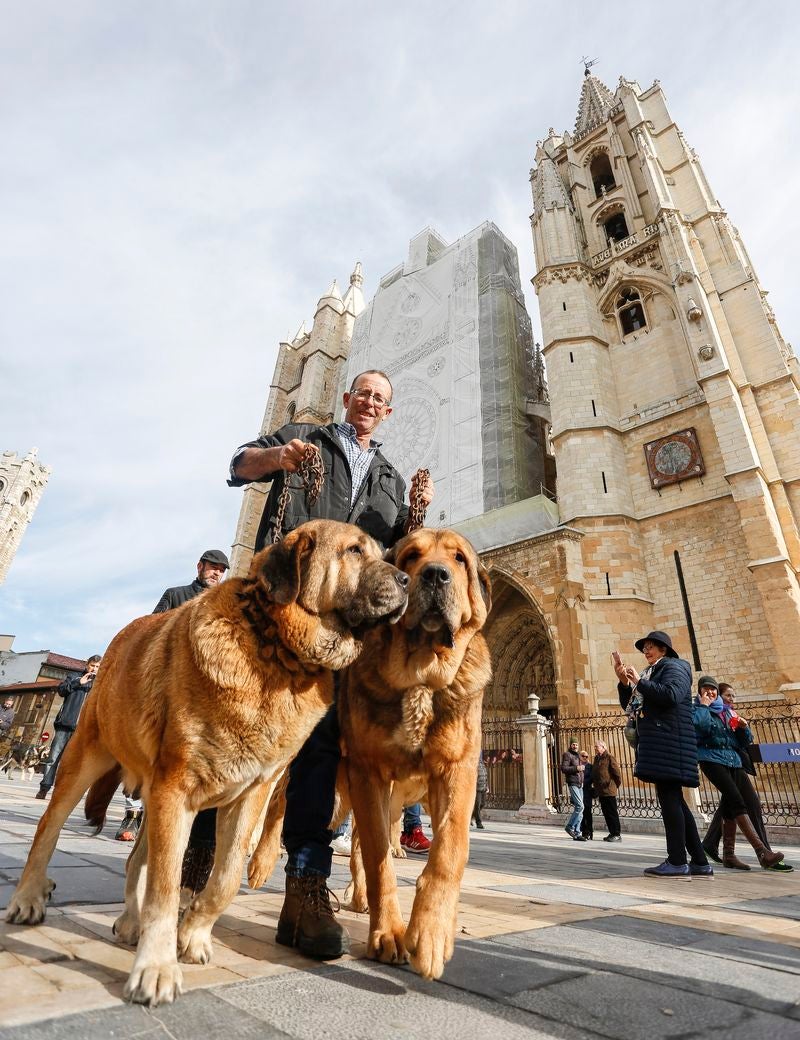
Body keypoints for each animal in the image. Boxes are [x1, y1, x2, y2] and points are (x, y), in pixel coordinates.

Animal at [6, 520, 405, 1006]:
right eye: (353, 551)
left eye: (382, 552)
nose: (407, 581)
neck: (275, 650)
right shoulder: (176, 789)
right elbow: (166, 886)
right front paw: (157, 966)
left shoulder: (247, 794)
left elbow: (225, 877)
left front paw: (192, 933)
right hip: (84, 759)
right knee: (49, 829)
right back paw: (29, 896)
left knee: (137, 859)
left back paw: (131, 920)